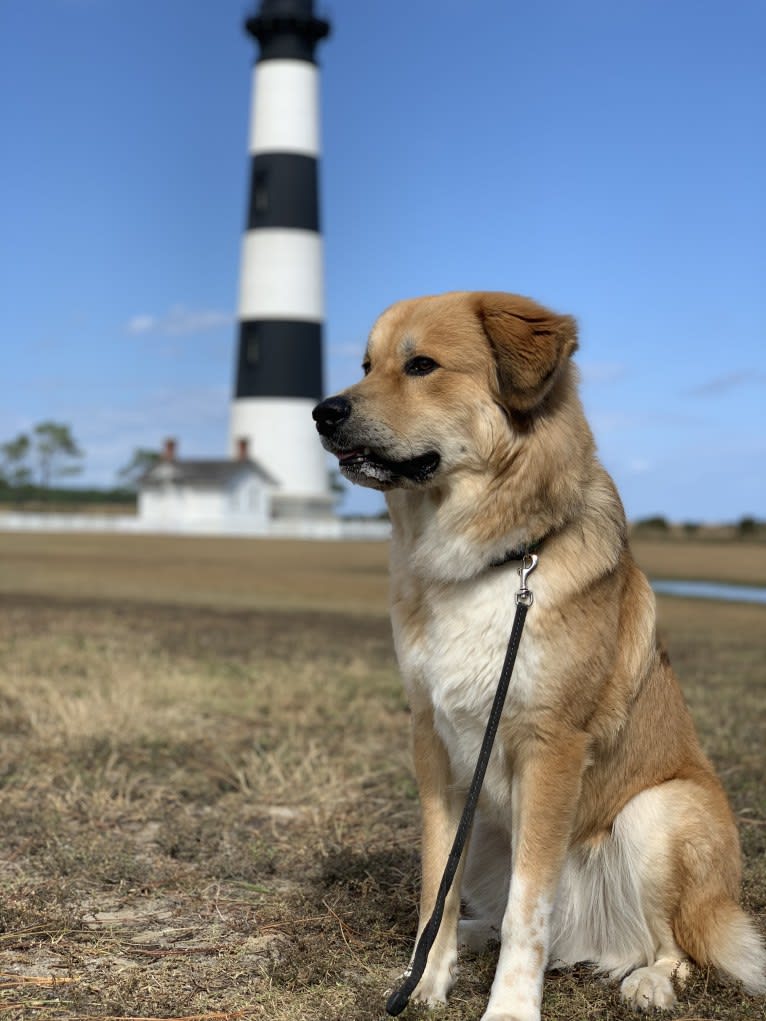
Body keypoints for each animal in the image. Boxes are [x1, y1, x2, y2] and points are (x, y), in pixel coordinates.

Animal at [312, 292, 766, 1016]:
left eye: (421, 365)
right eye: (366, 365)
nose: (323, 412)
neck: (496, 561)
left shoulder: (551, 744)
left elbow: (530, 910)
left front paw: (509, 1007)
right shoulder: (433, 741)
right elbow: (436, 882)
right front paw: (425, 977)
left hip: (660, 814)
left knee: (675, 943)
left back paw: (651, 978)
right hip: (489, 830)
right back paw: (474, 934)